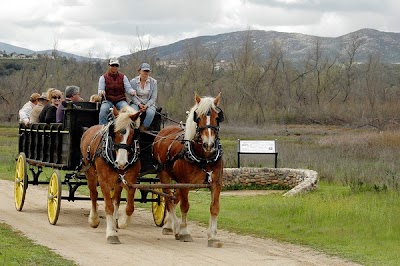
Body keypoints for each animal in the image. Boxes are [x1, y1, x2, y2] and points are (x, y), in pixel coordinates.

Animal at [79, 105, 141, 244]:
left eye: (133, 134)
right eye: (115, 132)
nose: (121, 162)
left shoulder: (131, 181)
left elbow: (129, 207)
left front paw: (121, 222)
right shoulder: (103, 181)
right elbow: (108, 207)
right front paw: (111, 233)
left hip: (117, 182)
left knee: (116, 200)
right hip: (90, 174)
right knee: (93, 195)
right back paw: (94, 219)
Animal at [152, 92, 223, 247]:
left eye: (217, 117)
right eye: (198, 117)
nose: (209, 144)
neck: (204, 158)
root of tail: (164, 130)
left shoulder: (216, 183)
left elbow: (214, 208)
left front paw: (213, 236)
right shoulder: (184, 183)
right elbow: (185, 206)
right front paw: (184, 232)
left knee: (174, 199)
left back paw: (168, 225)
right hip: (164, 175)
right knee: (168, 200)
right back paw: (174, 227)